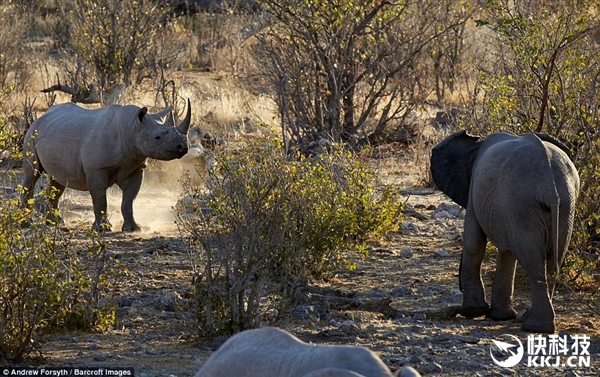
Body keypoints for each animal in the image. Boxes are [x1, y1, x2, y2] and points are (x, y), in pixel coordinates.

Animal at [432, 130, 580, 332]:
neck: (476, 145)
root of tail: (551, 186)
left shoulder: (475, 189)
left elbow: (474, 242)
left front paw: (473, 312)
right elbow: (507, 251)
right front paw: (500, 316)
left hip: (522, 203)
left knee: (533, 260)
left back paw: (534, 327)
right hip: (566, 205)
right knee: (553, 258)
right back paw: (533, 321)